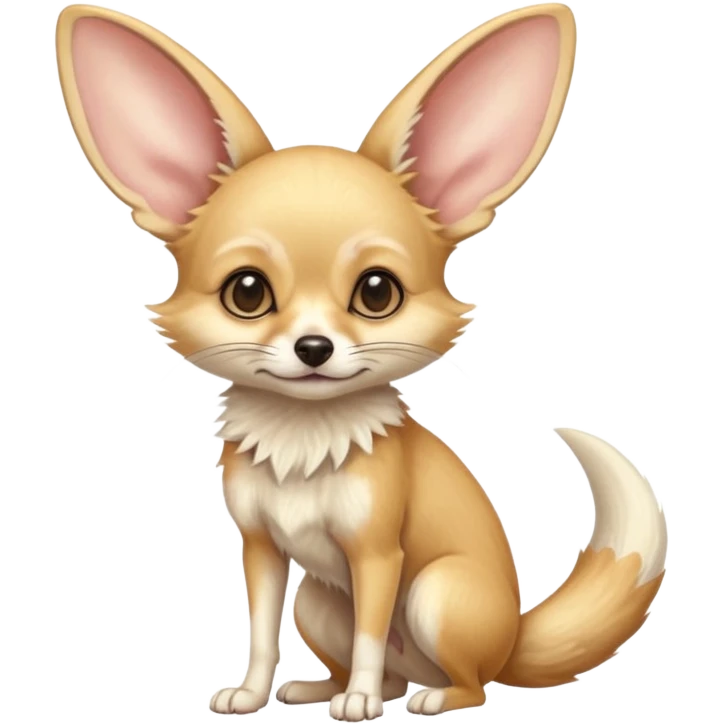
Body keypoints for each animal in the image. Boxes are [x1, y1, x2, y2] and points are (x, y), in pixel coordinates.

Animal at [54, 2, 669, 720]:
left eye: (377, 293)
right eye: (246, 292)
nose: (313, 348)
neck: (302, 440)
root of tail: (513, 637)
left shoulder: (378, 553)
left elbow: (373, 638)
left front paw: (360, 703)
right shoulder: (262, 551)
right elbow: (262, 633)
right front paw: (252, 693)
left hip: (436, 595)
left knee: (467, 682)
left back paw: (426, 696)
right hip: (317, 600)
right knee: (381, 664)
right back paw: (319, 687)